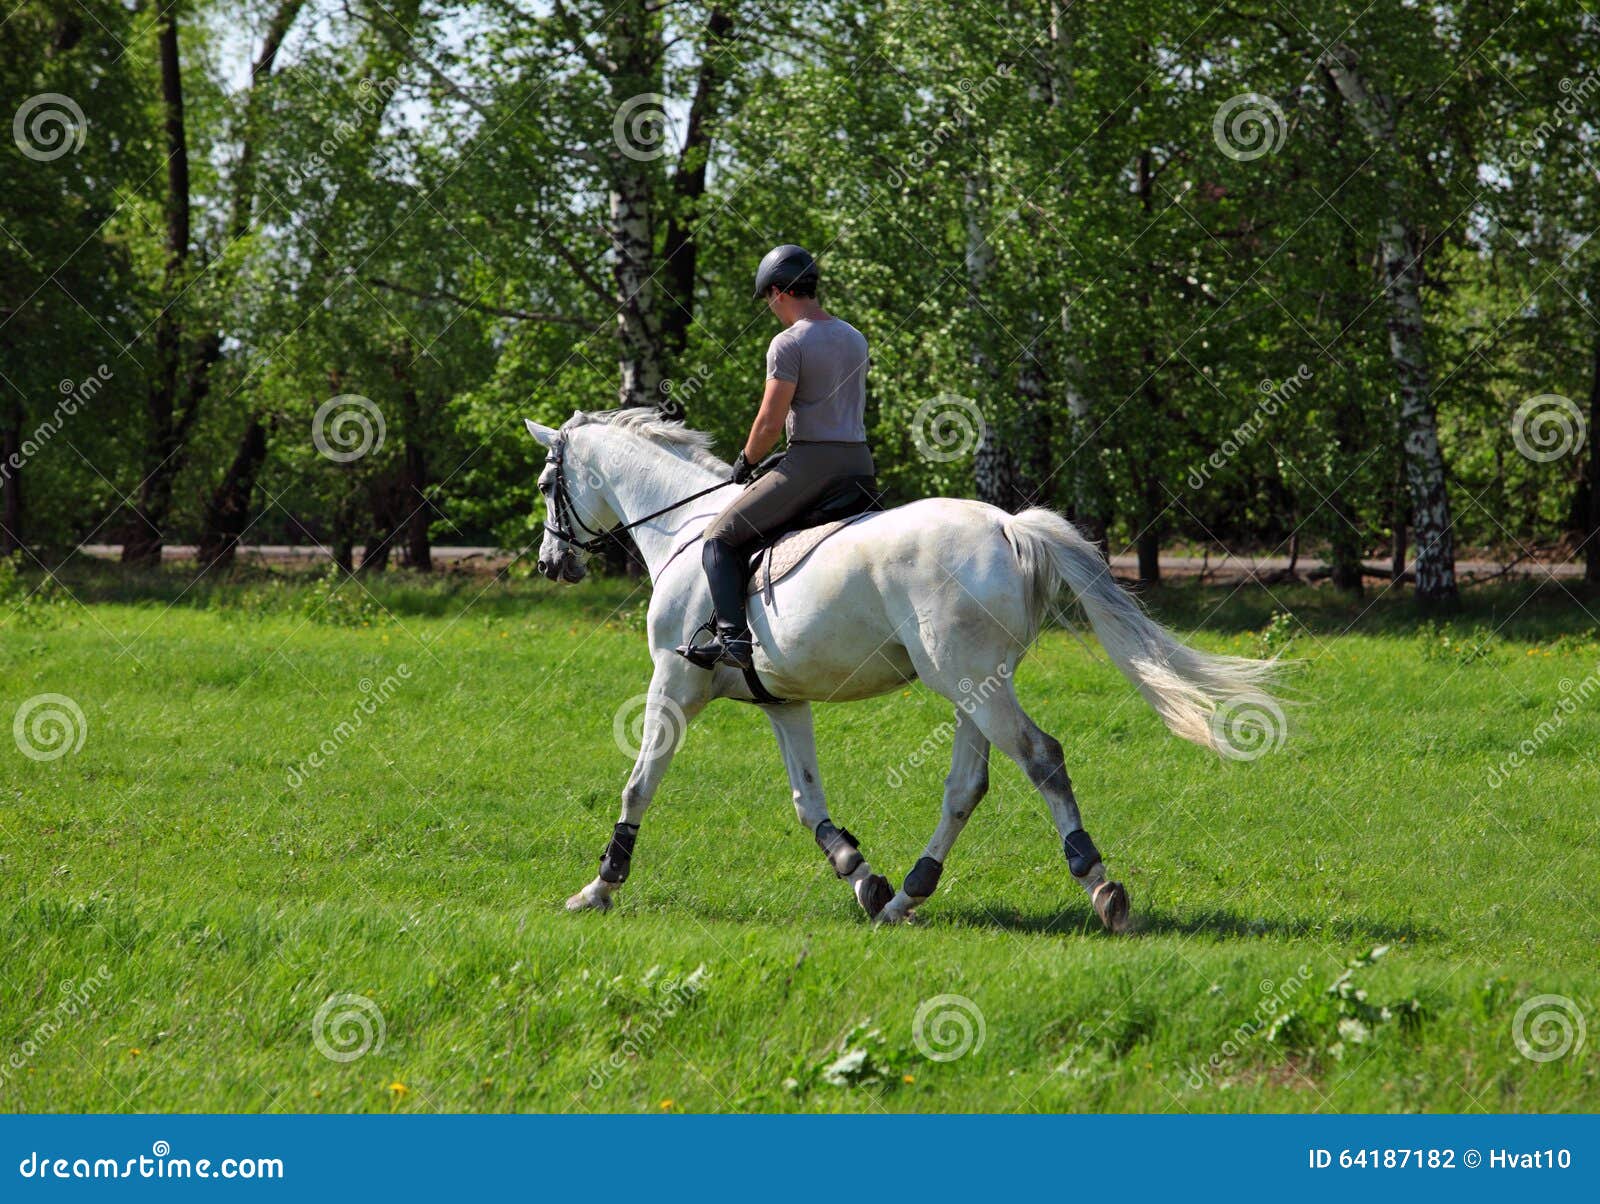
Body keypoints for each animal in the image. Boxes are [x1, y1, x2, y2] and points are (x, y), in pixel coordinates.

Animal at [531, 406, 1280, 928]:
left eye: (546, 484)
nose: (550, 564)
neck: (683, 529)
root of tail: (1009, 526)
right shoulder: (783, 700)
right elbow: (808, 801)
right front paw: (861, 875)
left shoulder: (675, 679)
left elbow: (639, 784)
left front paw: (599, 886)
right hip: (973, 685)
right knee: (967, 786)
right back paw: (906, 897)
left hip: (969, 681)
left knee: (1041, 757)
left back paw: (1099, 885)